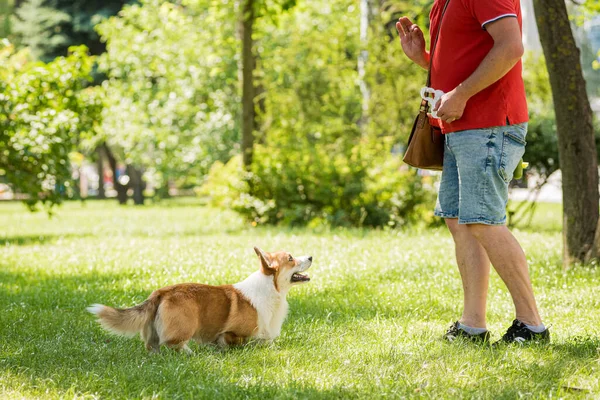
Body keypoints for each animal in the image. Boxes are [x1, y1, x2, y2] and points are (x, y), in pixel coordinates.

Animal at [89, 247, 314, 354]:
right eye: (290, 258)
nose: (311, 256)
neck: (271, 287)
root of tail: (160, 292)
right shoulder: (232, 333)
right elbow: (243, 341)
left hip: (152, 335)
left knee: (153, 347)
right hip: (186, 326)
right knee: (173, 344)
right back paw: (191, 353)